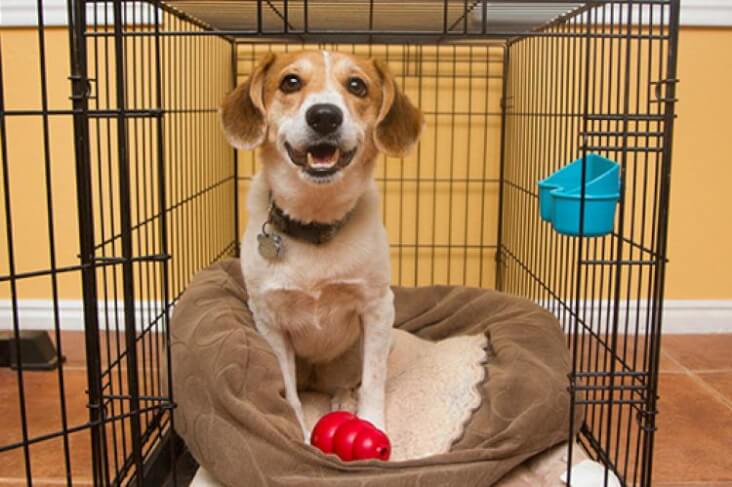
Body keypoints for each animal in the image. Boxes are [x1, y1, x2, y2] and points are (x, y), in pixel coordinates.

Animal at [220, 50, 420, 442]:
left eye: (357, 85)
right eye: (290, 82)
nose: (325, 115)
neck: (315, 220)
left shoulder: (377, 308)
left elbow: (373, 382)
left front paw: (372, 426)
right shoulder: (269, 320)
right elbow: (289, 394)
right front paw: (297, 434)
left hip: (375, 342)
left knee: (348, 383)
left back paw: (343, 401)